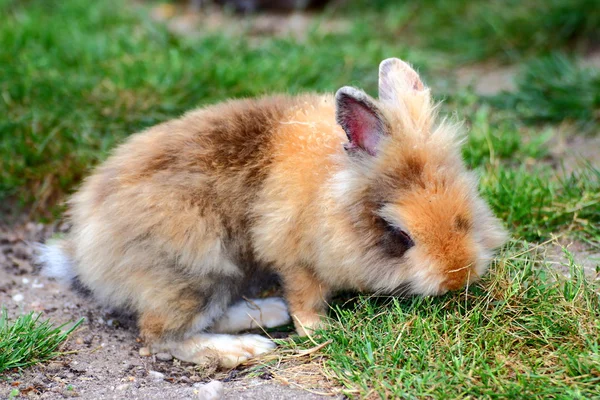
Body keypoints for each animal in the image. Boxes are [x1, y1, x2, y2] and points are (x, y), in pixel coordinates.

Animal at [37, 57, 506, 368]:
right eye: (399, 233)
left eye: (466, 213)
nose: (457, 277)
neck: (337, 198)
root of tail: (86, 252)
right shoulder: (294, 256)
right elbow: (304, 297)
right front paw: (322, 332)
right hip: (195, 273)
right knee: (159, 336)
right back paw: (247, 348)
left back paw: (267, 314)